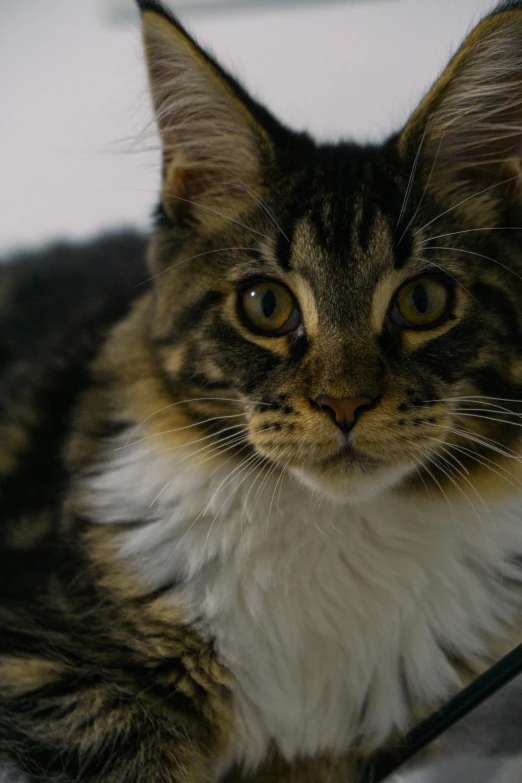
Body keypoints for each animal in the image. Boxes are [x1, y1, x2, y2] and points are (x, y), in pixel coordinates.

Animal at [1, 0, 520, 780]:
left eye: (423, 301)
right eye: (266, 305)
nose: (344, 403)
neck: (336, 530)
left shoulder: (360, 745)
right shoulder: (48, 664)